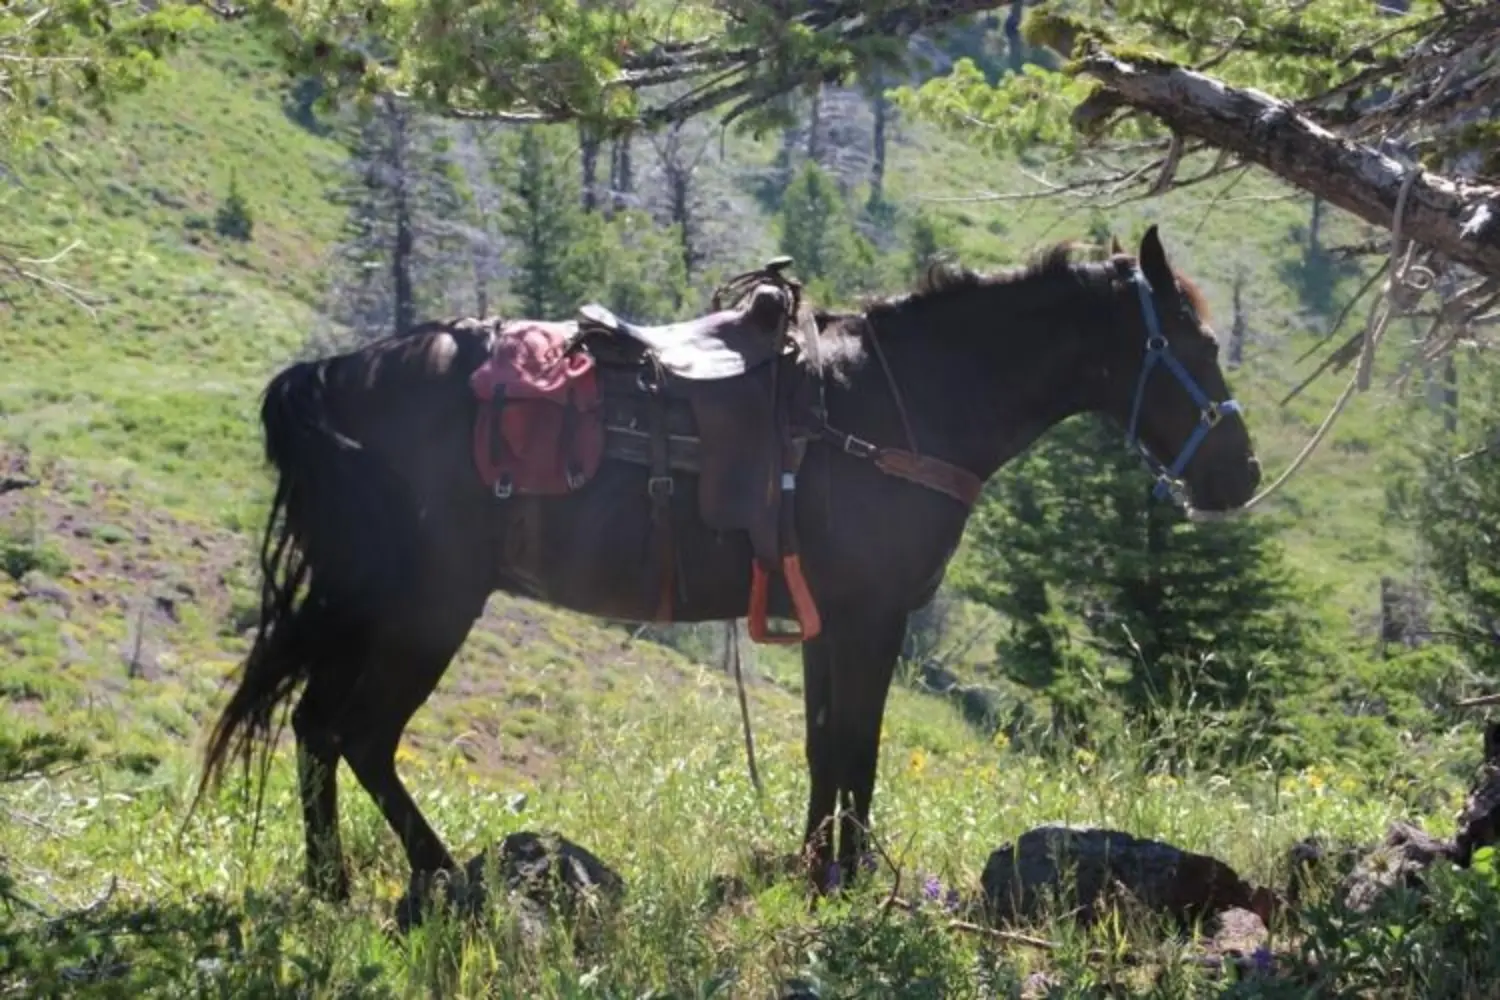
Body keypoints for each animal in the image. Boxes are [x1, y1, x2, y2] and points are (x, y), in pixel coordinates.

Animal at [190, 225, 1261, 908]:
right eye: (1202, 343)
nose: (1241, 475)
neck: (897, 405)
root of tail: (331, 375)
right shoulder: (872, 617)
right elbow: (857, 749)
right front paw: (848, 880)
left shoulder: (833, 619)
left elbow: (830, 749)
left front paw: (823, 869)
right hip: (425, 609)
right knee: (358, 732)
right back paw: (438, 876)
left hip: (367, 606)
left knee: (317, 727)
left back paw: (332, 884)